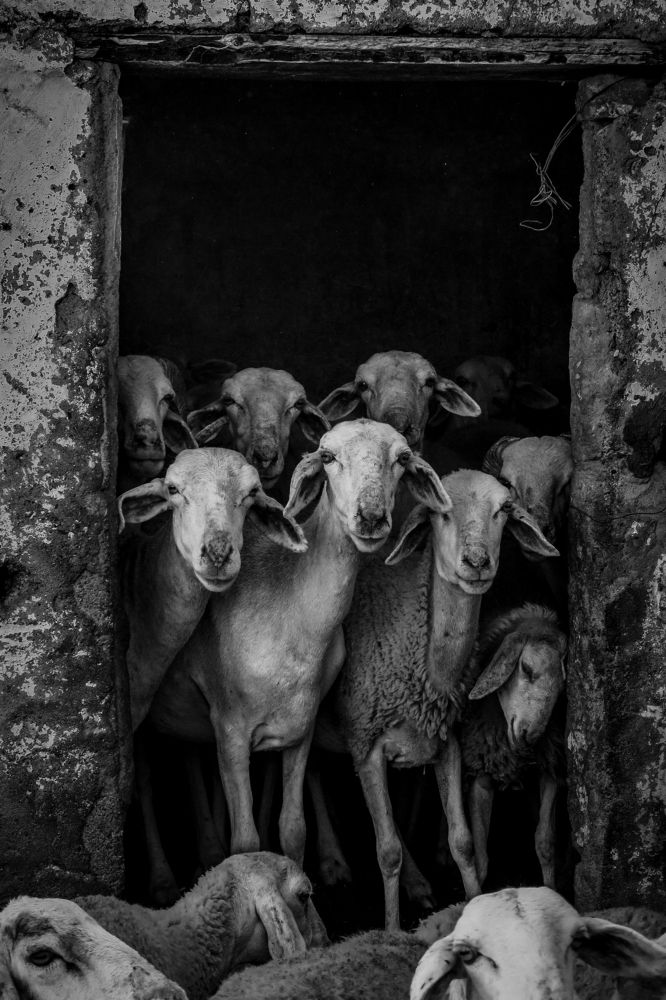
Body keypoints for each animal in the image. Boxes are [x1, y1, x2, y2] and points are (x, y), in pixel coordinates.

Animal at [149, 419, 450, 875]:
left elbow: (293, 831)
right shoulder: (230, 729)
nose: (371, 517)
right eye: (327, 457)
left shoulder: (299, 729)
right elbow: (247, 843)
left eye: (401, 458)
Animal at [460, 604, 567, 889]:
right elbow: (481, 858)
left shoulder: (550, 769)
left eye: (562, 689)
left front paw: (551, 890)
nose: (529, 735)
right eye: (527, 668)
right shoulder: (480, 774)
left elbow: (545, 843)